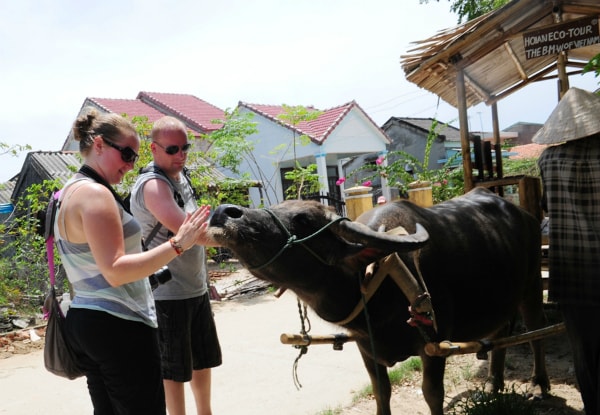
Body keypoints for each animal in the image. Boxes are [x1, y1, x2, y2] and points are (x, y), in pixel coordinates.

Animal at [206, 189, 548, 415]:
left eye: (303, 218)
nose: (223, 213)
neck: (374, 281)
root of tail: (525, 214)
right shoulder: (365, 346)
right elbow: (381, 392)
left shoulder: (434, 342)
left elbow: (432, 394)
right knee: (500, 334)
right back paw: (493, 384)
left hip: (532, 284)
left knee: (535, 333)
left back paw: (538, 385)